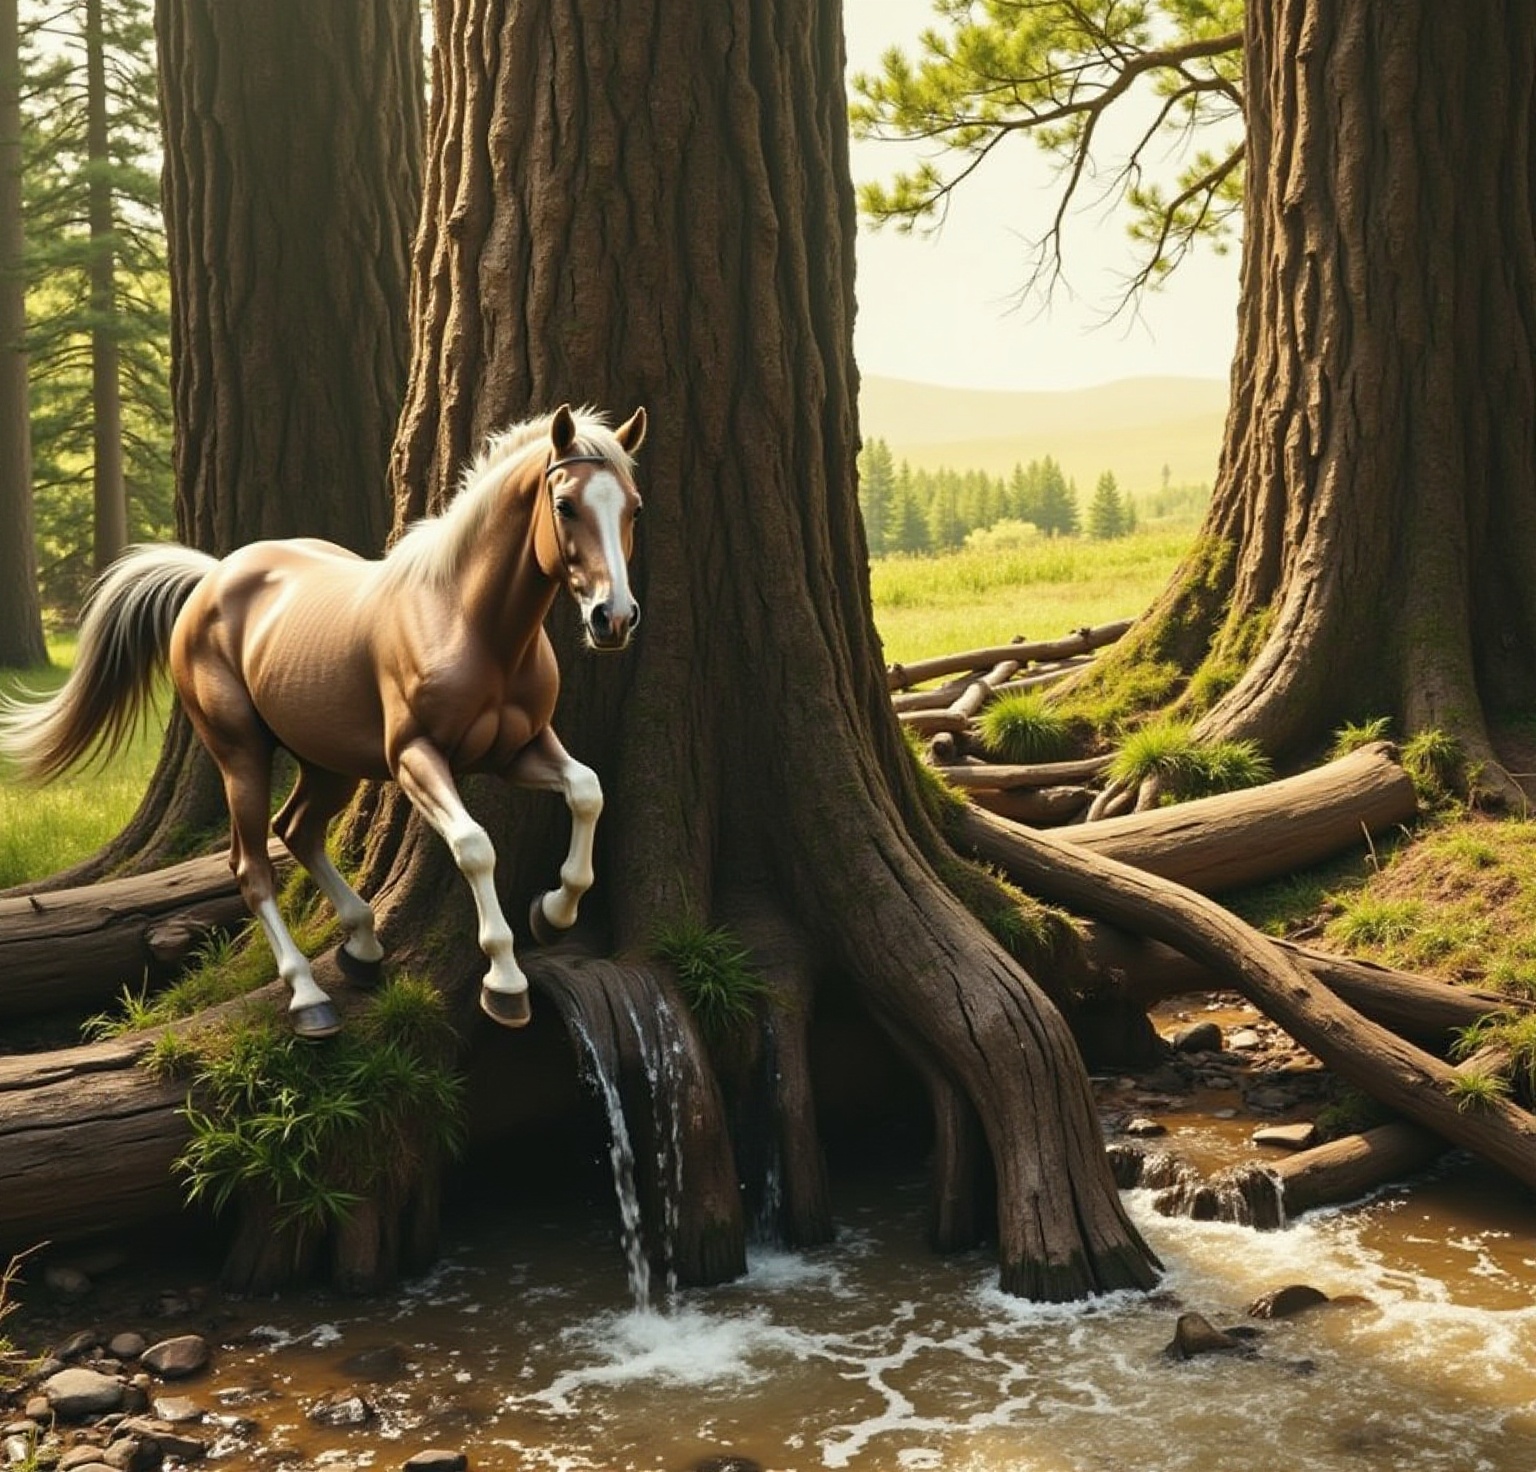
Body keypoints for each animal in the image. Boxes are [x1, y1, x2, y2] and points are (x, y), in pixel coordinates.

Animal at [0, 403, 646, 1039]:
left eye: (634, 506)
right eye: (565, 505)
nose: (612, 618)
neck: (468, 622)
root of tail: (212, 576)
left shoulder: (521, 749)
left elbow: (588, 791)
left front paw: (553, 913)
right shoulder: (415, 757)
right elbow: (474, 845)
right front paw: (505, 983)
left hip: (329, 764)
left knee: (296, 829)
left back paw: (361, 946)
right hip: (241, 756)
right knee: (252, 865)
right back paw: (309, 997)